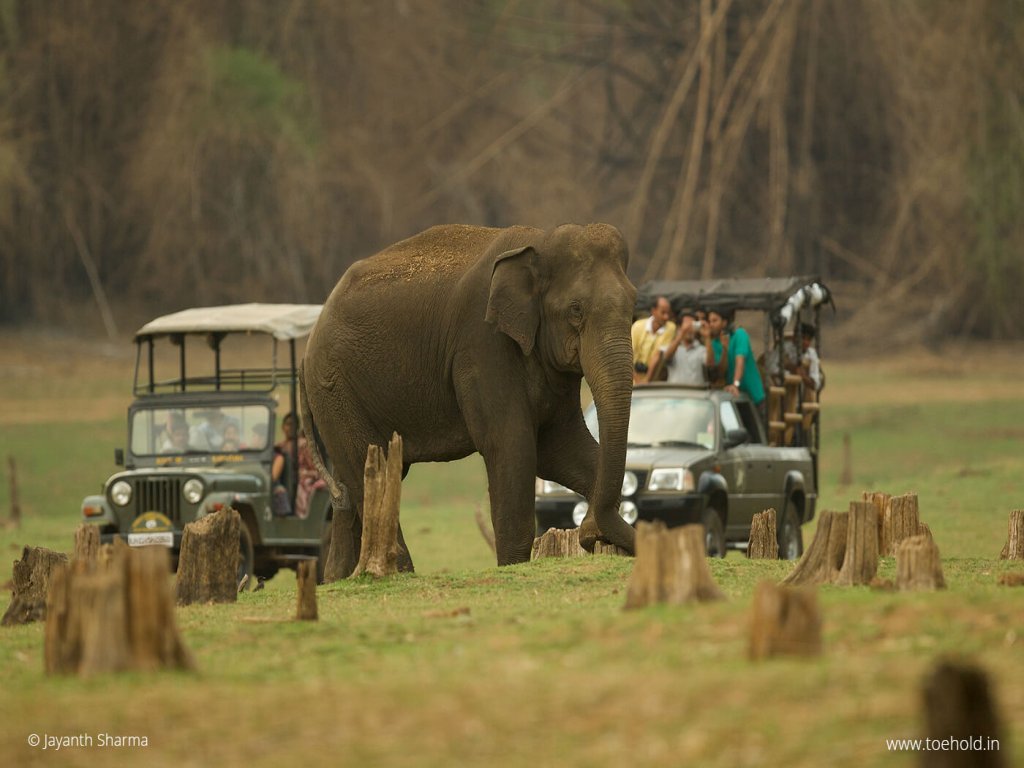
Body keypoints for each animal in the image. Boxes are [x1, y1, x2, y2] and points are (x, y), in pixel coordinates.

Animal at [299, 222, 638, 577]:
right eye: (576, 310)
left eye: (633, 307)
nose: (589, 534)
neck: (539, 241)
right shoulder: (482, 346)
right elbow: (511, 447)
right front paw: (511, 568)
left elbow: (562, 449)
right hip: (335, 387)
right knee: (367, 471)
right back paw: (397, 574)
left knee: (353, 487)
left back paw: (340, 578)